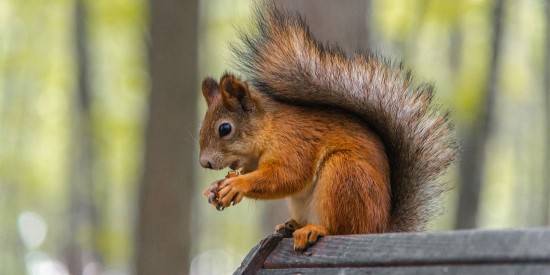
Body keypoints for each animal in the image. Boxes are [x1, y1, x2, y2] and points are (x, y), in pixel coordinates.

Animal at [198, 2, 458, 252]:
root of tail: (379, 227)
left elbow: (288, 175)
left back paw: (314, 229)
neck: (269, 128)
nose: (205, 163)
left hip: (344, 174)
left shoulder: (295, 142)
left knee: (342, 229)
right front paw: (213, 188)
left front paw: (237, 184)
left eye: (224, 129)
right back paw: (291, 225)